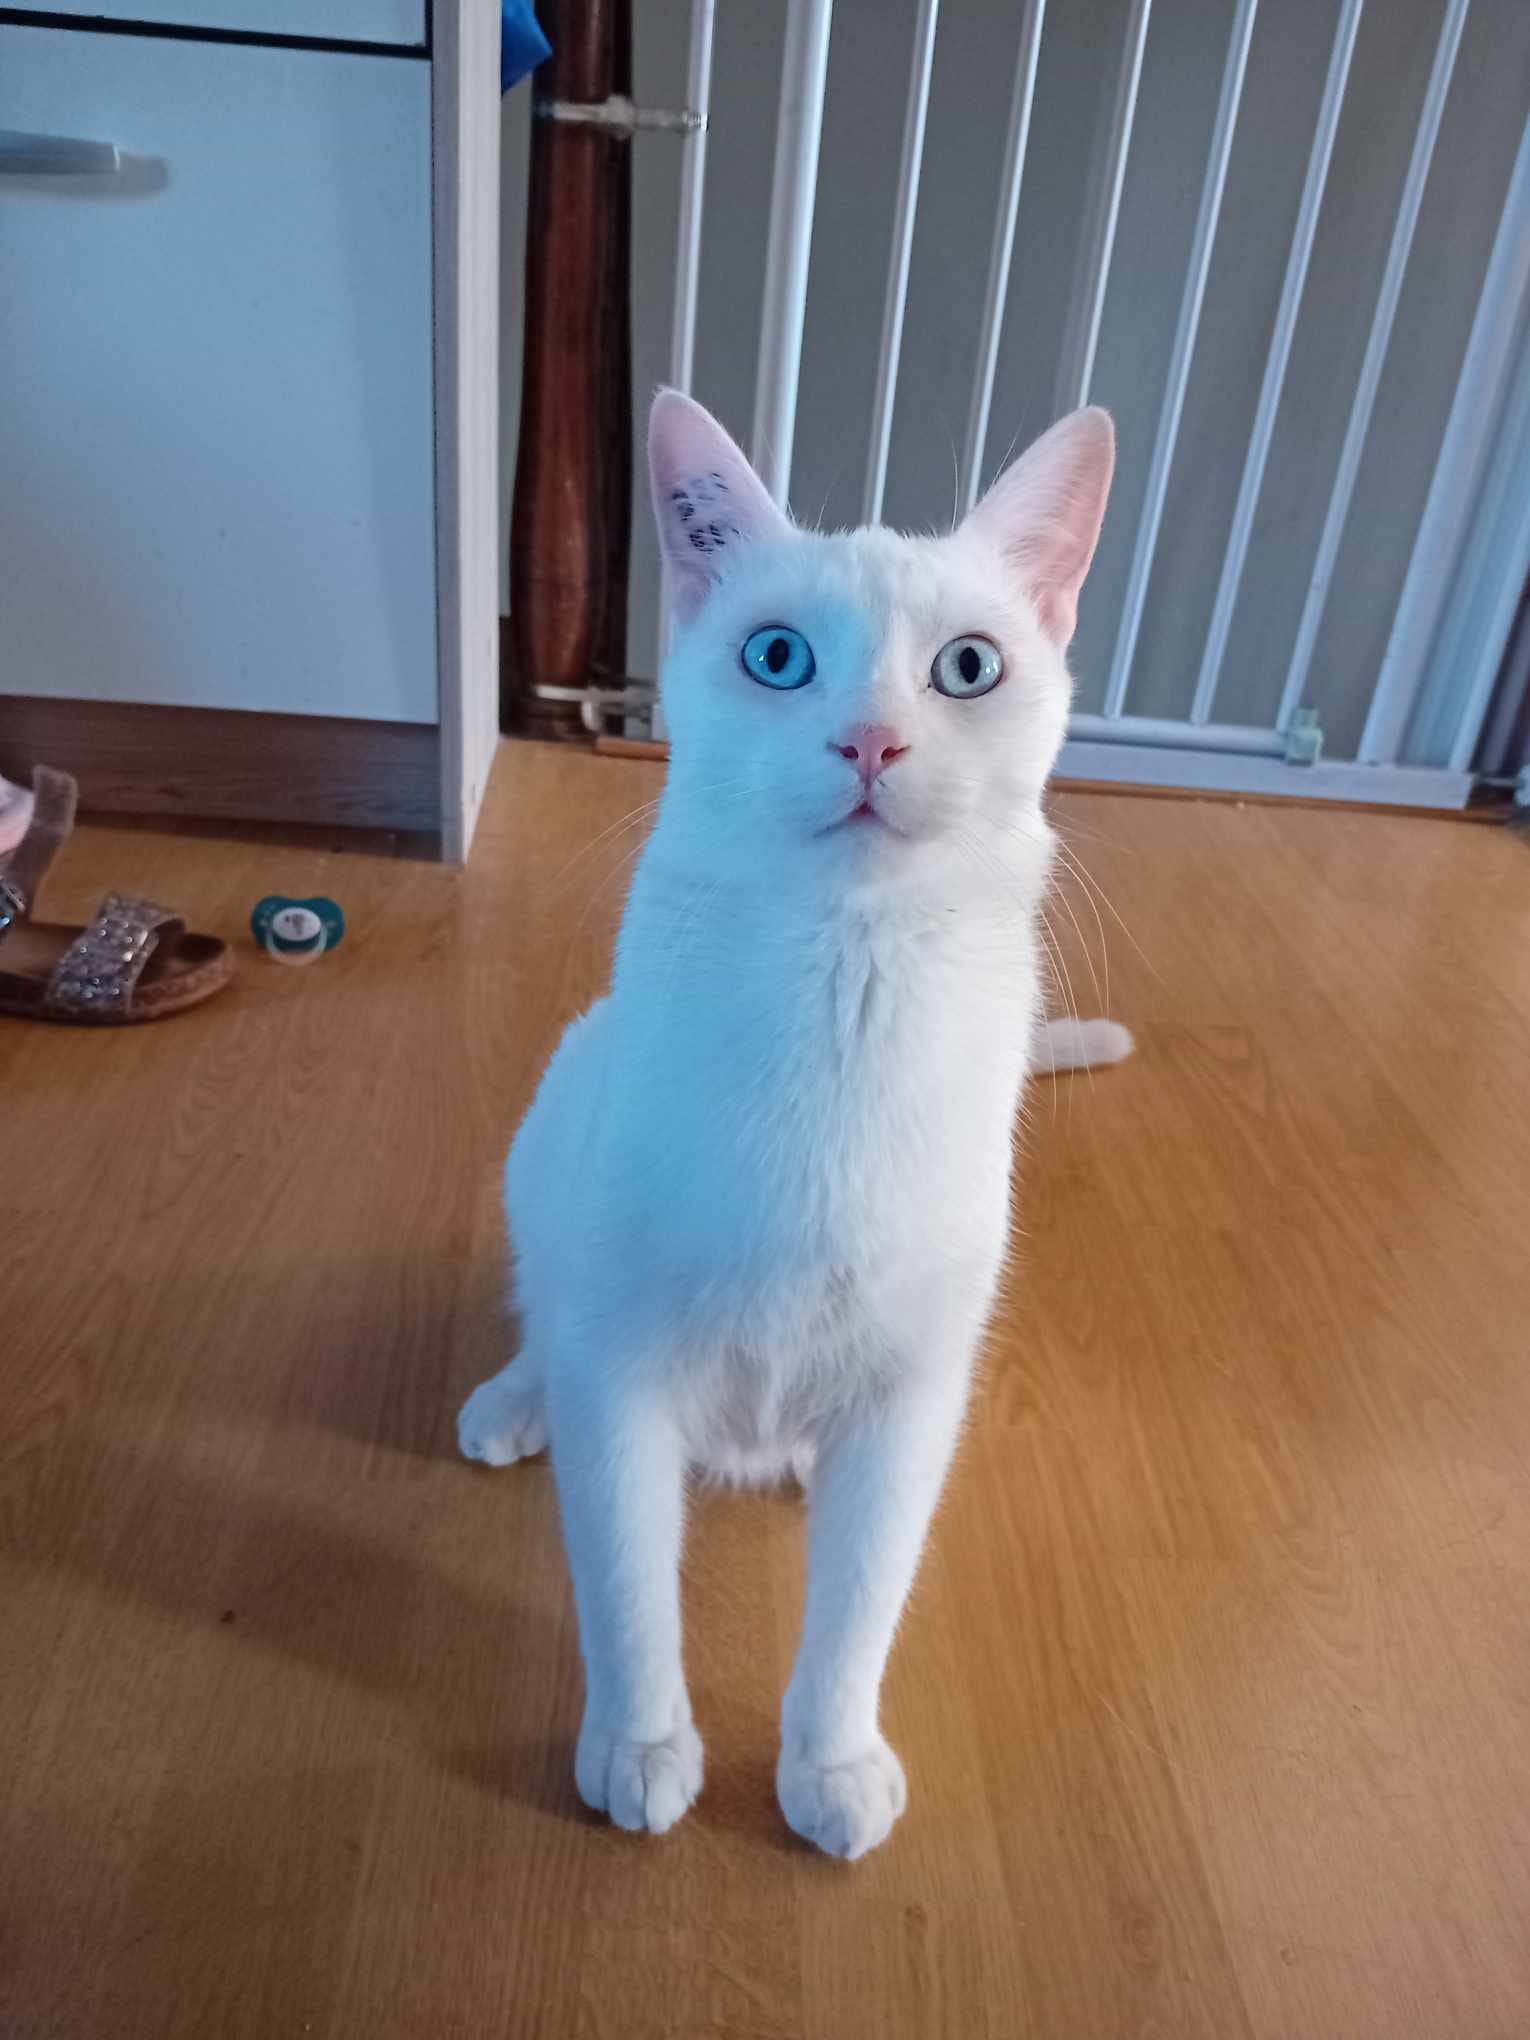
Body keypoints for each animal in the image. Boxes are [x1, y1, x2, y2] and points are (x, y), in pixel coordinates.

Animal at [459, 390, 1122, 1859]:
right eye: (777, 657)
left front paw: (830, 1761)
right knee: (543, 1308)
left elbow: (861, 1605)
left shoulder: (912, 1392)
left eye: (969, 669)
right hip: (554, 1119)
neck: (843, 992)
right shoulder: (625, 1377)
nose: (870, 742)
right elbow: (626, 1587)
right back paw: (516, 1398)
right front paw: (641, 1746)